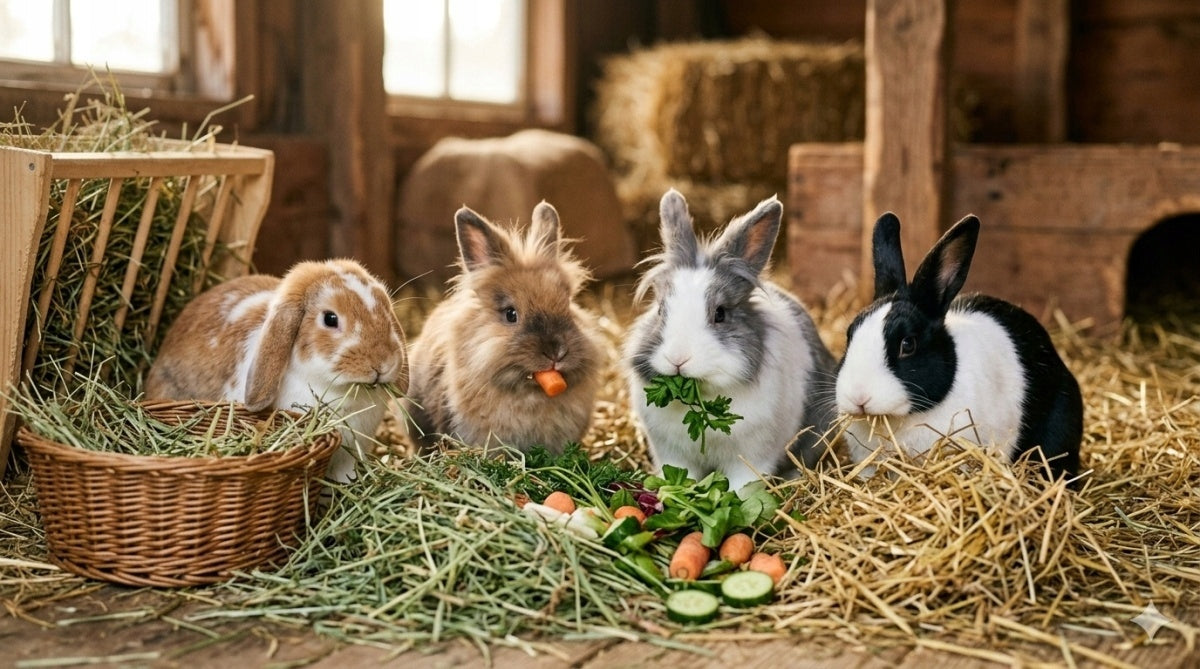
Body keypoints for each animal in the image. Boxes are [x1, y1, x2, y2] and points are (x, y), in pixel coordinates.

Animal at [625, 189, 838, 492]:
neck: (703, 397)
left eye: (720, 313)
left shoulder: (751, 458)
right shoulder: (673, 455)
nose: (678, 359)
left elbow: (743, 486)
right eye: (660, 310)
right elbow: (680, 476)